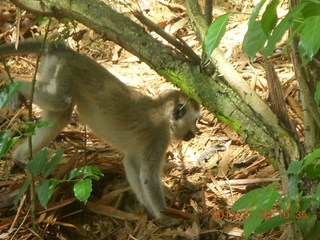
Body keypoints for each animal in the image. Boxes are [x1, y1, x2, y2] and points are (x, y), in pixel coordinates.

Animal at [0, 40, 200, 218]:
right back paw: (12, 85)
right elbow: (148, 177)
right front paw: (166, 217)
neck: (164, 116)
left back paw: (20, 157)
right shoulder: (158, 137)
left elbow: (131, 162)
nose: (195, 132)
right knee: (60, 101)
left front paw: (148, 209)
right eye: (195, 120)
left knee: (59, 115)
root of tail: (67, 51)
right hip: (64, 68)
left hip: (54, 68)